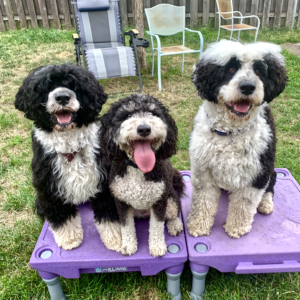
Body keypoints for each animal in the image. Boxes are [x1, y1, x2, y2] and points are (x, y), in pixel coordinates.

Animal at [14, 64, 120, 252]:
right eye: (47, 86)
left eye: (74, 85)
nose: (62, 97)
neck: (70, 148)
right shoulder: (50, 188)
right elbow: (62, 218)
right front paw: (70, 239)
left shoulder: (104, 182)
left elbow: (109, 215)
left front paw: (116, 239)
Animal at [99, 95, 184, 256]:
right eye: (127, 115)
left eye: (153, 113)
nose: (144, 129)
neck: (138, 168)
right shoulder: (121, 203)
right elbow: (127, 227)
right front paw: (128, 245)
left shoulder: (159, 202)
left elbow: (157, 226)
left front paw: (157, 246)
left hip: (170, 200)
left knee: (173, 214)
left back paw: (175, 225)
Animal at [188, 41, 288, 239]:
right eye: (231, 69)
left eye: (258, 71)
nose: (248, 86)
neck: (231, 133)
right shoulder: (204, 172)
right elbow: (203, 202)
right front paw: (199, 225)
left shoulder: (256, 172)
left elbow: (244, 205)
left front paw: (236, 228)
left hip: (269, 170)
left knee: (271, 186)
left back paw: (265, 203)